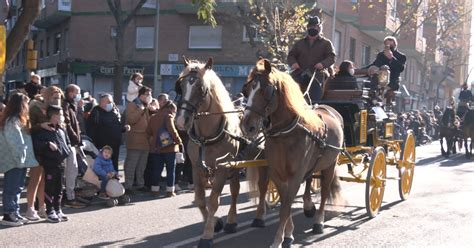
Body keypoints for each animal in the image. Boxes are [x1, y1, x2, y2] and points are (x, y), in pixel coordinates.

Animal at [175, 57, 270, 247]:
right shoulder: (197, 168)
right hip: (236, 166)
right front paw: (215, 222)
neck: (207, 137)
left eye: (201, 87)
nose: (181, 121)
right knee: (234, 190)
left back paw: (259, 216)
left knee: (262, 187)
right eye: (181, 86)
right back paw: (232, 222)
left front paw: (207, 235)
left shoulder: (221, 169)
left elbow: (213, 201)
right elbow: (200, 199)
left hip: (262, 162)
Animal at [243, 58, 342, 248]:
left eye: (267, 90)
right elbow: (285, 203)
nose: (247, 126)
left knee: (325, 191)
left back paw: (319, 221)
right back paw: (308, 206)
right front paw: (288, 234)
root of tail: (331, 110)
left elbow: (286, 207)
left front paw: (278, 240)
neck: (286, 134)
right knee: (310, 180)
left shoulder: (295, 175)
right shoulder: (277, 173)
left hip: (330, 164)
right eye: (246, 90)